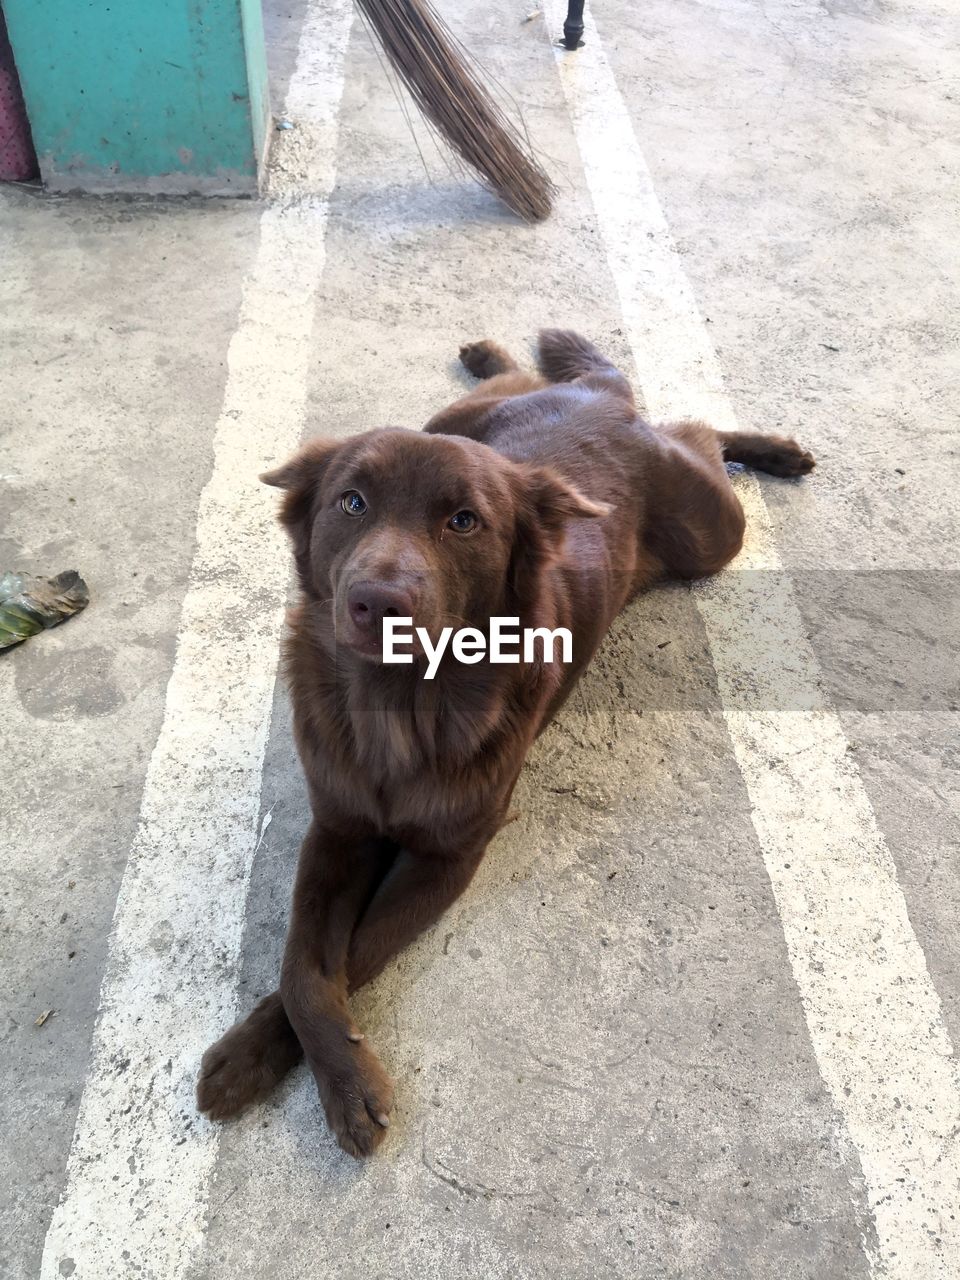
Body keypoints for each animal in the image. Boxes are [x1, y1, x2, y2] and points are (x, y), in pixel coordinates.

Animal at [199, 330, 814, 1152]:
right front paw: (257, 1061)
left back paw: (772, 450)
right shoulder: (337, 828)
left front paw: (335, 1082)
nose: (376, 603)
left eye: (464, 521)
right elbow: (304, 969)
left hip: (713, 532)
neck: (401, 703)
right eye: (351, 503)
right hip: (453, 418)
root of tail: (602, 407)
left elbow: (352, 954)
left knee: (698, 431)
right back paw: (491, 354)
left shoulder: (451, 856)